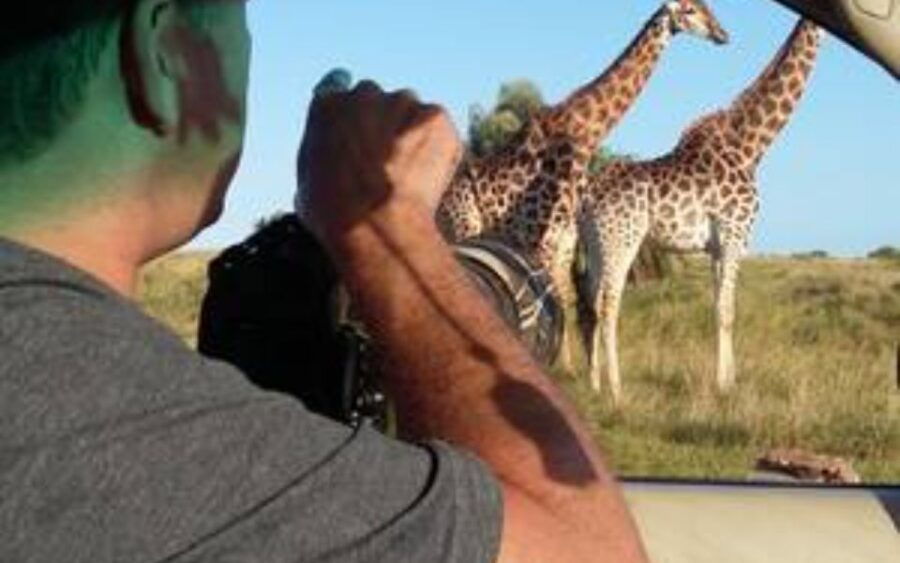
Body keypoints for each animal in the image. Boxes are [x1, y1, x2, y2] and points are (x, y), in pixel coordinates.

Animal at [438, 1, 732, 370]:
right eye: (690, 10)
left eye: (710, 7)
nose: (723, 34)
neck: (586, 131)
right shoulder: (540, 231)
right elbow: (547, 297)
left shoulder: (565, 235)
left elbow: (563, 296)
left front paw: (570, 367)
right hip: (465, 224)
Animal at [576, 18, 824, 400]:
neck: (752, 146)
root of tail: (587, 196)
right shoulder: (735, 234)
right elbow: (727, 310)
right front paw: (724, 386)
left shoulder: (717, 246)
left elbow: (718, 305)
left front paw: (729, 380)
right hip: (621, 240)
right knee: (608, 302)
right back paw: (617, 390)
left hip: (594, 244)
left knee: (589, 301)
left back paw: (595, 385)